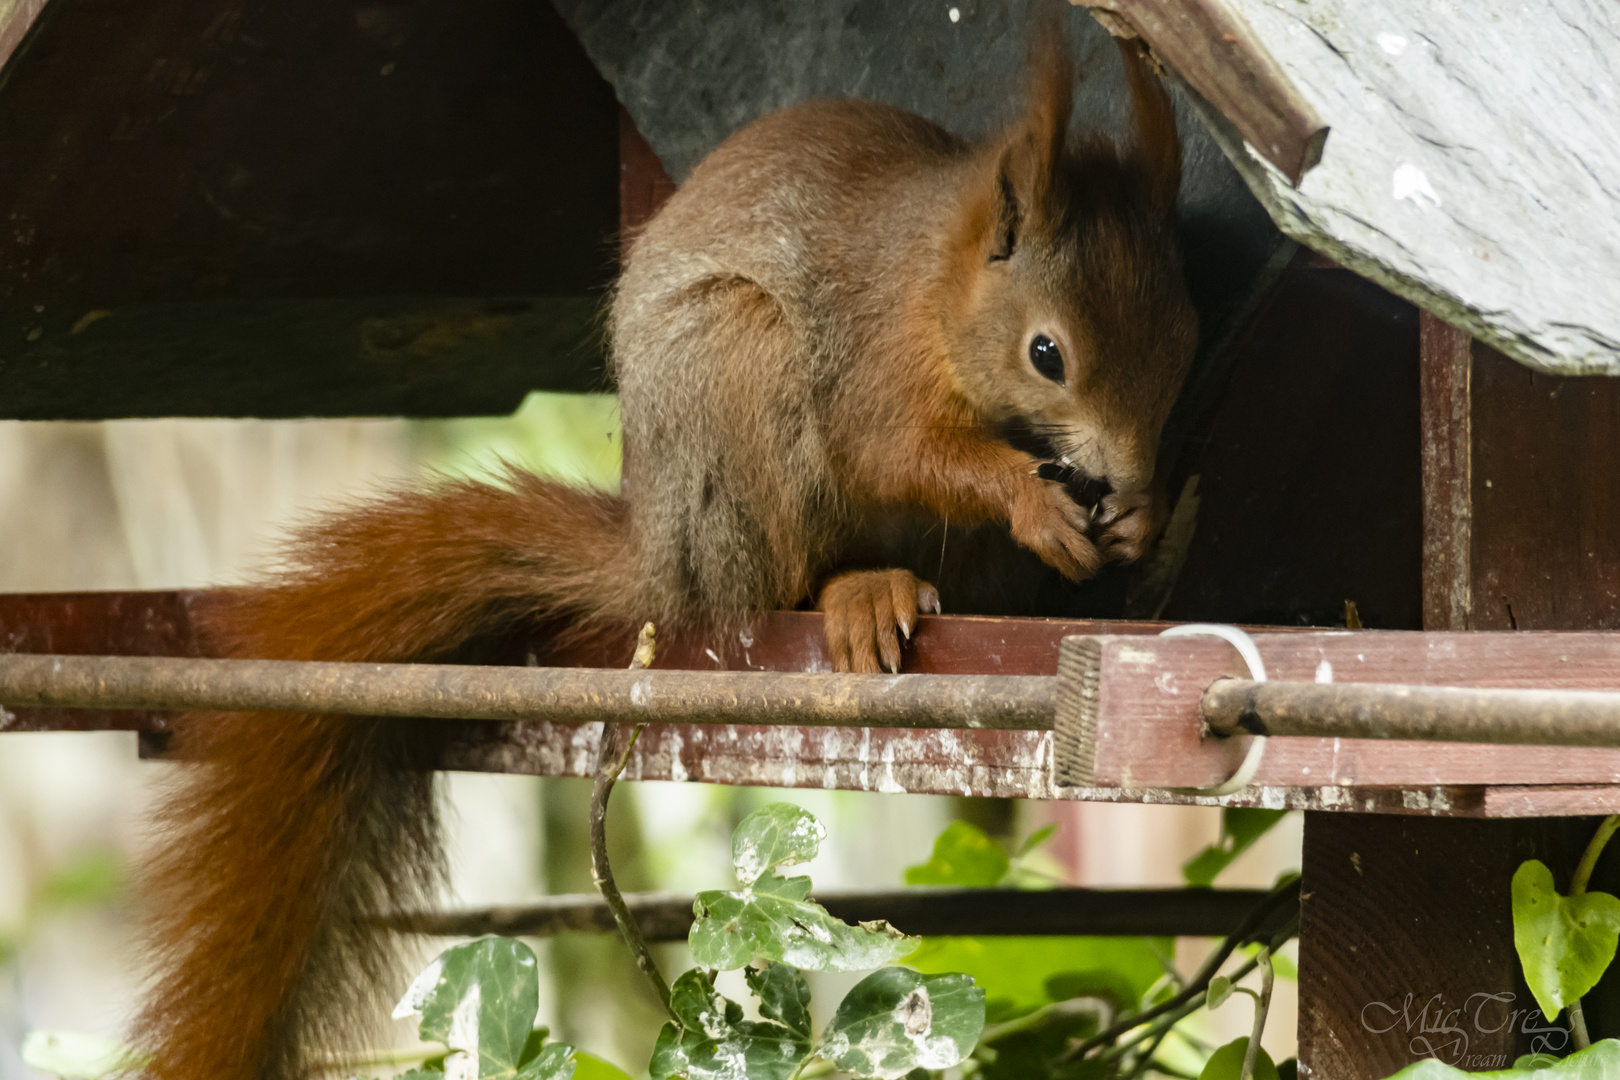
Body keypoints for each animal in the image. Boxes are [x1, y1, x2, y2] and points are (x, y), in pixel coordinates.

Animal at [132, 33, 1192, 1080]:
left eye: (1181, 346)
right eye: (1047, 354)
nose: (1125, 476)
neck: (935, 280)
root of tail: (665, 553)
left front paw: (1142, 518)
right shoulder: (872, 363)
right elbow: (896, 451)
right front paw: (1031, 496)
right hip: (738, 371)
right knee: (781, 581)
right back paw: (858, 590)